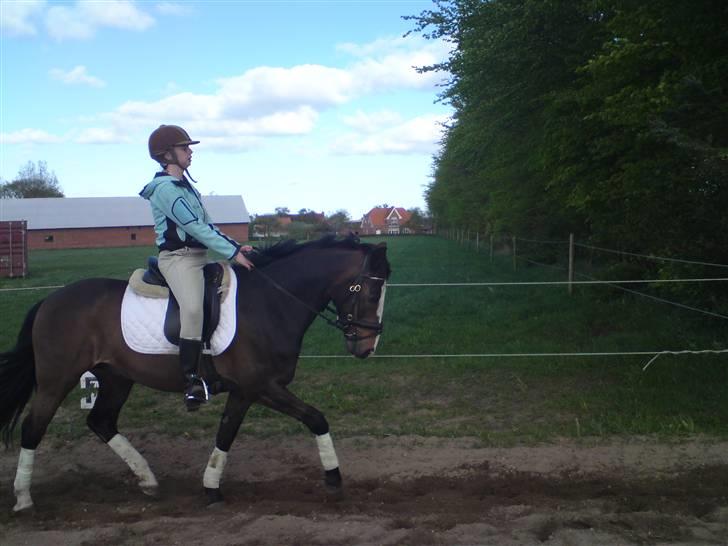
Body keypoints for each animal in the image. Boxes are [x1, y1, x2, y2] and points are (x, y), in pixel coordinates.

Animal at [0, 234, 390, 513]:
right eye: (371, 290)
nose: (367, 347)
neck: (270, 302)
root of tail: (50, 300)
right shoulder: (263, 386)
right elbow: (316, 418)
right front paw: (334, 480)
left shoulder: (245, 391)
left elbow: (226, 434)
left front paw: (211, 488)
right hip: (57, 379)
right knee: (34, 428)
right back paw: (23, 498)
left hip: (116, 378)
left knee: (101, 421)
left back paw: (148, 480)